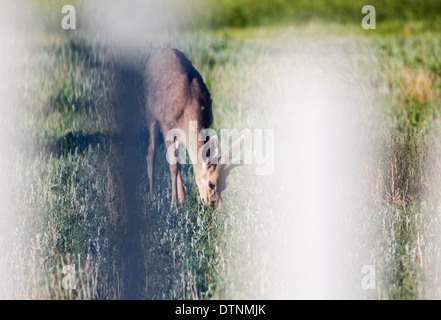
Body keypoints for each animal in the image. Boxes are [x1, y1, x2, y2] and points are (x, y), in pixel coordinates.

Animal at [144, 47, 244, 208]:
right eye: (211, 183)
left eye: (224, 184)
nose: (214, 204)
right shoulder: (167, 126)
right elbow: (172, 165)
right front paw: (172, 205)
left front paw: (180, 201)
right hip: (149, 111)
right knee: (151, 150)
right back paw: (152, 193)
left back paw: (182, 199)